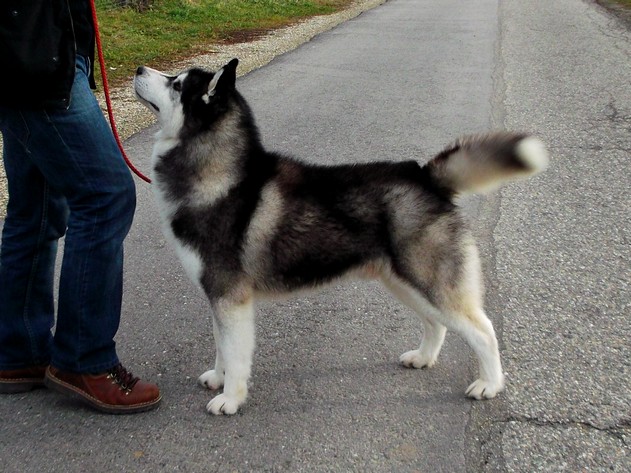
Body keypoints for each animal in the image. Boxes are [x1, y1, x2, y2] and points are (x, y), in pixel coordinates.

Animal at [133, 58, 548, 412]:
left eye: (176, 84)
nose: (138, 69)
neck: (220, 176)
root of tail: (424, 175)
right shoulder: (218, 296)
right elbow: (221, 347)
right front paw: (218, 379)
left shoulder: (230, 297)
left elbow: (235, 355)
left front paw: (230, 399)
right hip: (403, 281)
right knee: (436, 323)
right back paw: (423, 358)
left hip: (431, 280)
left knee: (484, 331)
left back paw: (489, 384)